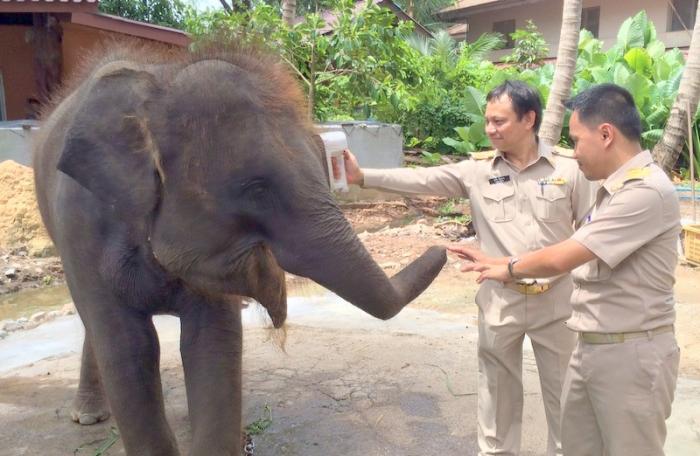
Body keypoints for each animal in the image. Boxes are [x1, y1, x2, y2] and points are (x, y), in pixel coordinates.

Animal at [32, 43, 446, 456]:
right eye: (257, 190)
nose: (441, 246)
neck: (162, 83)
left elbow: (213, 343)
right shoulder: (81, 228)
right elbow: (129, 350)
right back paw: (89, 416)